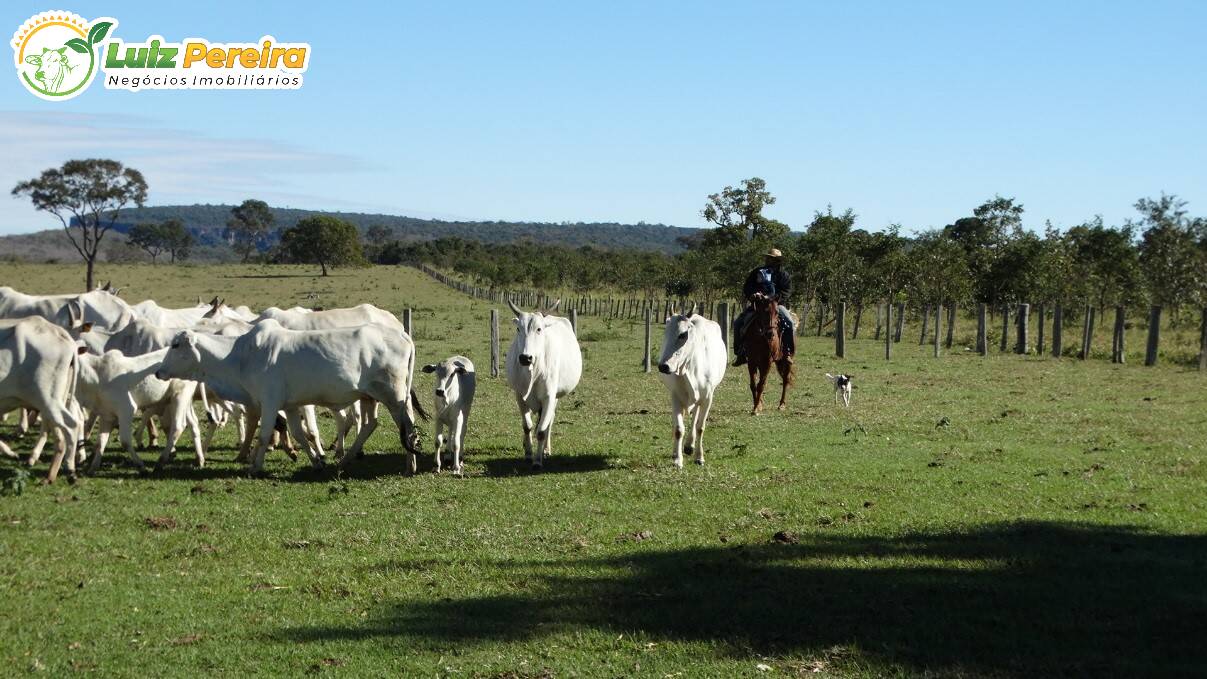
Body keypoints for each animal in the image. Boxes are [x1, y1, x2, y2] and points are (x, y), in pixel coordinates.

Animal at [155, 320, 427, 475]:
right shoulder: (290, 405)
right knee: (371, 424)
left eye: (176, 345)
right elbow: (299, 434)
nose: (159, 371)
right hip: (369, 396)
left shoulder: (269, 401)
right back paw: (345, 461)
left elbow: (264, 434)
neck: (239, 356)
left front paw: (255, 466)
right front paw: (317, 461)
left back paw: (410, 465)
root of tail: (402, 334)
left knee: (407, 425)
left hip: (394, 395)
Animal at [504, 300, 579, 470]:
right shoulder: (519, 396)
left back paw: (546, 450)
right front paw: (528, 454)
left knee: (549, 421)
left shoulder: (549, 397)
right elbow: (527, 426)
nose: (525, 358)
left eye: (539, 329)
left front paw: (538, 460)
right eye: (518, 329)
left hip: (555, 396)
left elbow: (541, 431)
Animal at [661, 311, 724, 467]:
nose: (663, 366)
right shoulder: (675, 396)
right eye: (666, 332)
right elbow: (678, 429)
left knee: (695, 417)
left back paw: (690, 445)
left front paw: (699, 457)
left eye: (683, 334)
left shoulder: (708, 397)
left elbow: (700, 427)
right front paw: (677, 459)